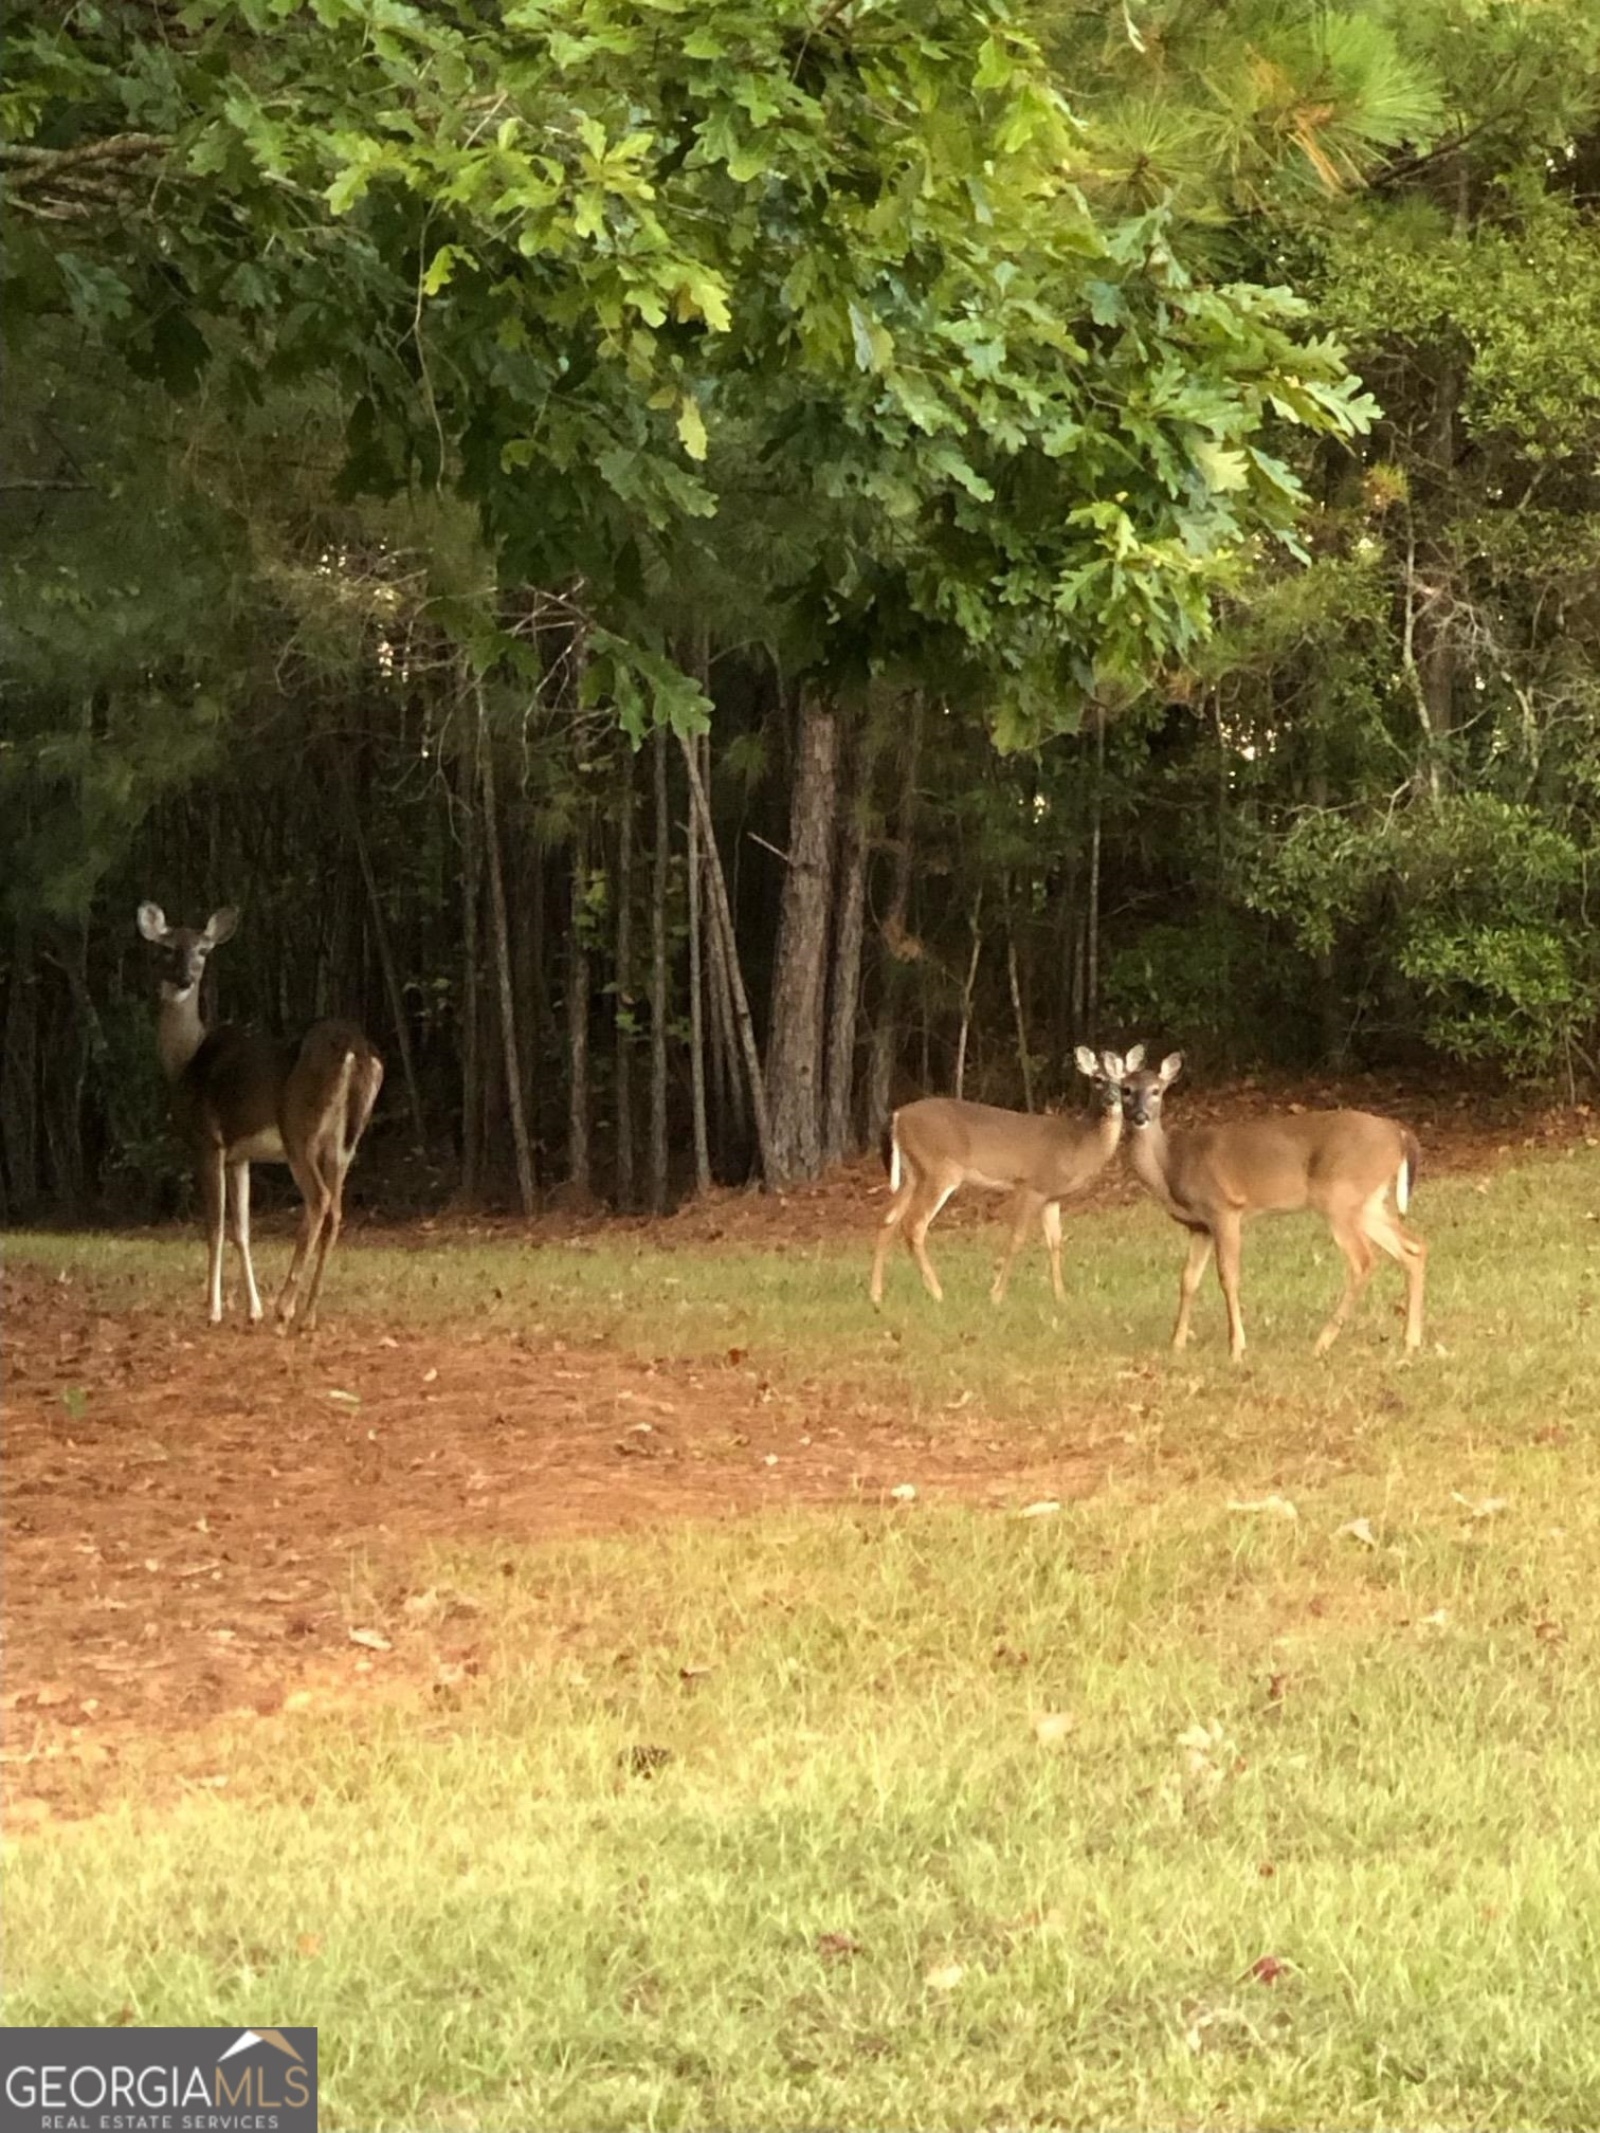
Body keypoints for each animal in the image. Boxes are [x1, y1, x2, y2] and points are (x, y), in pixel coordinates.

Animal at [137, 900, 386, 1330]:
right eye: (167, 948)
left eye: (203, 950)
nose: (186, 978)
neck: (185, 1060)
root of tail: (356, 1048)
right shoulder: (241, 1155)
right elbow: (242, 1229)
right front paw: (251, 1309)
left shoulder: (208, 1141)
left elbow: (215, 1226)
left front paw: (214, 1309)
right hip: (344, 1140)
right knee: (337, 1208)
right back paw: (308, 1312)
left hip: (299, 1127)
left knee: (319, 1200)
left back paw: (286, 1306)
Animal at [866, 1040, 1143, 1305]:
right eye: (1097, 1079)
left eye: (1124, 1082)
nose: (1112, 1099)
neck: (1078, 1142)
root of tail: (897, 1115)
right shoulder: (1032, 1185)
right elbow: (1017, 1238)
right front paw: (996, 1295)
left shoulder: (1051, 1197)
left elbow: (1055, 1243)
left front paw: (1061, 1297)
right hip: (940, 1169)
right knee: (914, 1224)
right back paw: (937, 1293)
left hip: (912, 1173)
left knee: (887, 1218)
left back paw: (876, 1295)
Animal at [1117, 1053, 1433, 1365]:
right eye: (1125, 1090)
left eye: (1157, 1091)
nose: (1140, 1117)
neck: (1171, 1166)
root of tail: (1399, 1133)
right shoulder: (1199, 1227)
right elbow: (1188, 1280)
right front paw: (1177, 1344)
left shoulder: (1224, 1209)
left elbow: (1228, 1277)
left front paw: (1236, 1347)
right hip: (1368, 1202)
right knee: (1414, 1247)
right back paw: (1411, 1342)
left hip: (1340, 1196)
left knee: (1364, 1261)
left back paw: (1322, 1343)